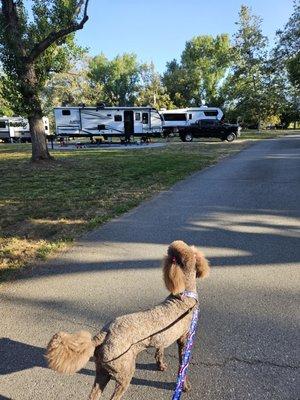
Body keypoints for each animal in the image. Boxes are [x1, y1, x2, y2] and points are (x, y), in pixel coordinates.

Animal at [47, 241, 211, 400]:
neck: (184, 295)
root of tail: (104, 334)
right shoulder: (185, 339)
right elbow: (182, 367)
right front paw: (185, 386)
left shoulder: (162, 339)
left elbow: (160, 350)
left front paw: (160, 365)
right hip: (124, 372)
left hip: (102, 371)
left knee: (93, 395)